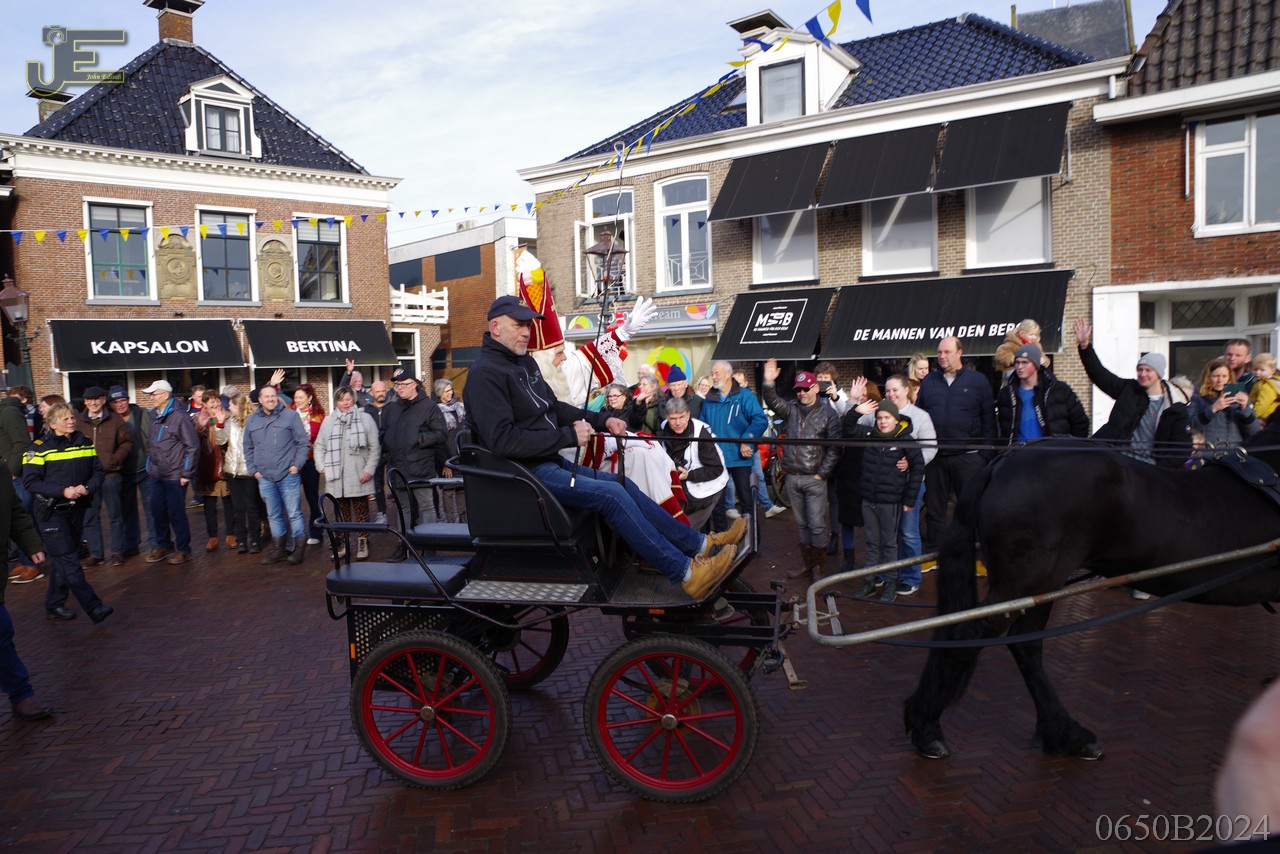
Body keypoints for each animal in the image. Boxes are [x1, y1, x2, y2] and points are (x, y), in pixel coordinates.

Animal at [903, 435, 1280, 761]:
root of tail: (1003, 460)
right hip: (1023, 585)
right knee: (968, 638)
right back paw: (927, 727)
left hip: (1039, 586)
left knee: (1025, 647)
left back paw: (1064, 734)